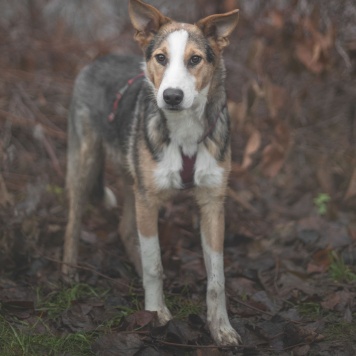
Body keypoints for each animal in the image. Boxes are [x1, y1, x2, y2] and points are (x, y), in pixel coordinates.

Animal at [63, 0, 241, 344]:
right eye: (161, 58)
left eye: (195, 59)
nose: (171, 96)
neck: (185, 132)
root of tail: (98, 59)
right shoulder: (149, 199)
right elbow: (155, 266)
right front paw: (157, 313)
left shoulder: (213, 202)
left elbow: (218, 278)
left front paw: (221, 328)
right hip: (84, 163)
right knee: (73, 220)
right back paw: (68, 271)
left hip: (132, 177)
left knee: (126, 229)